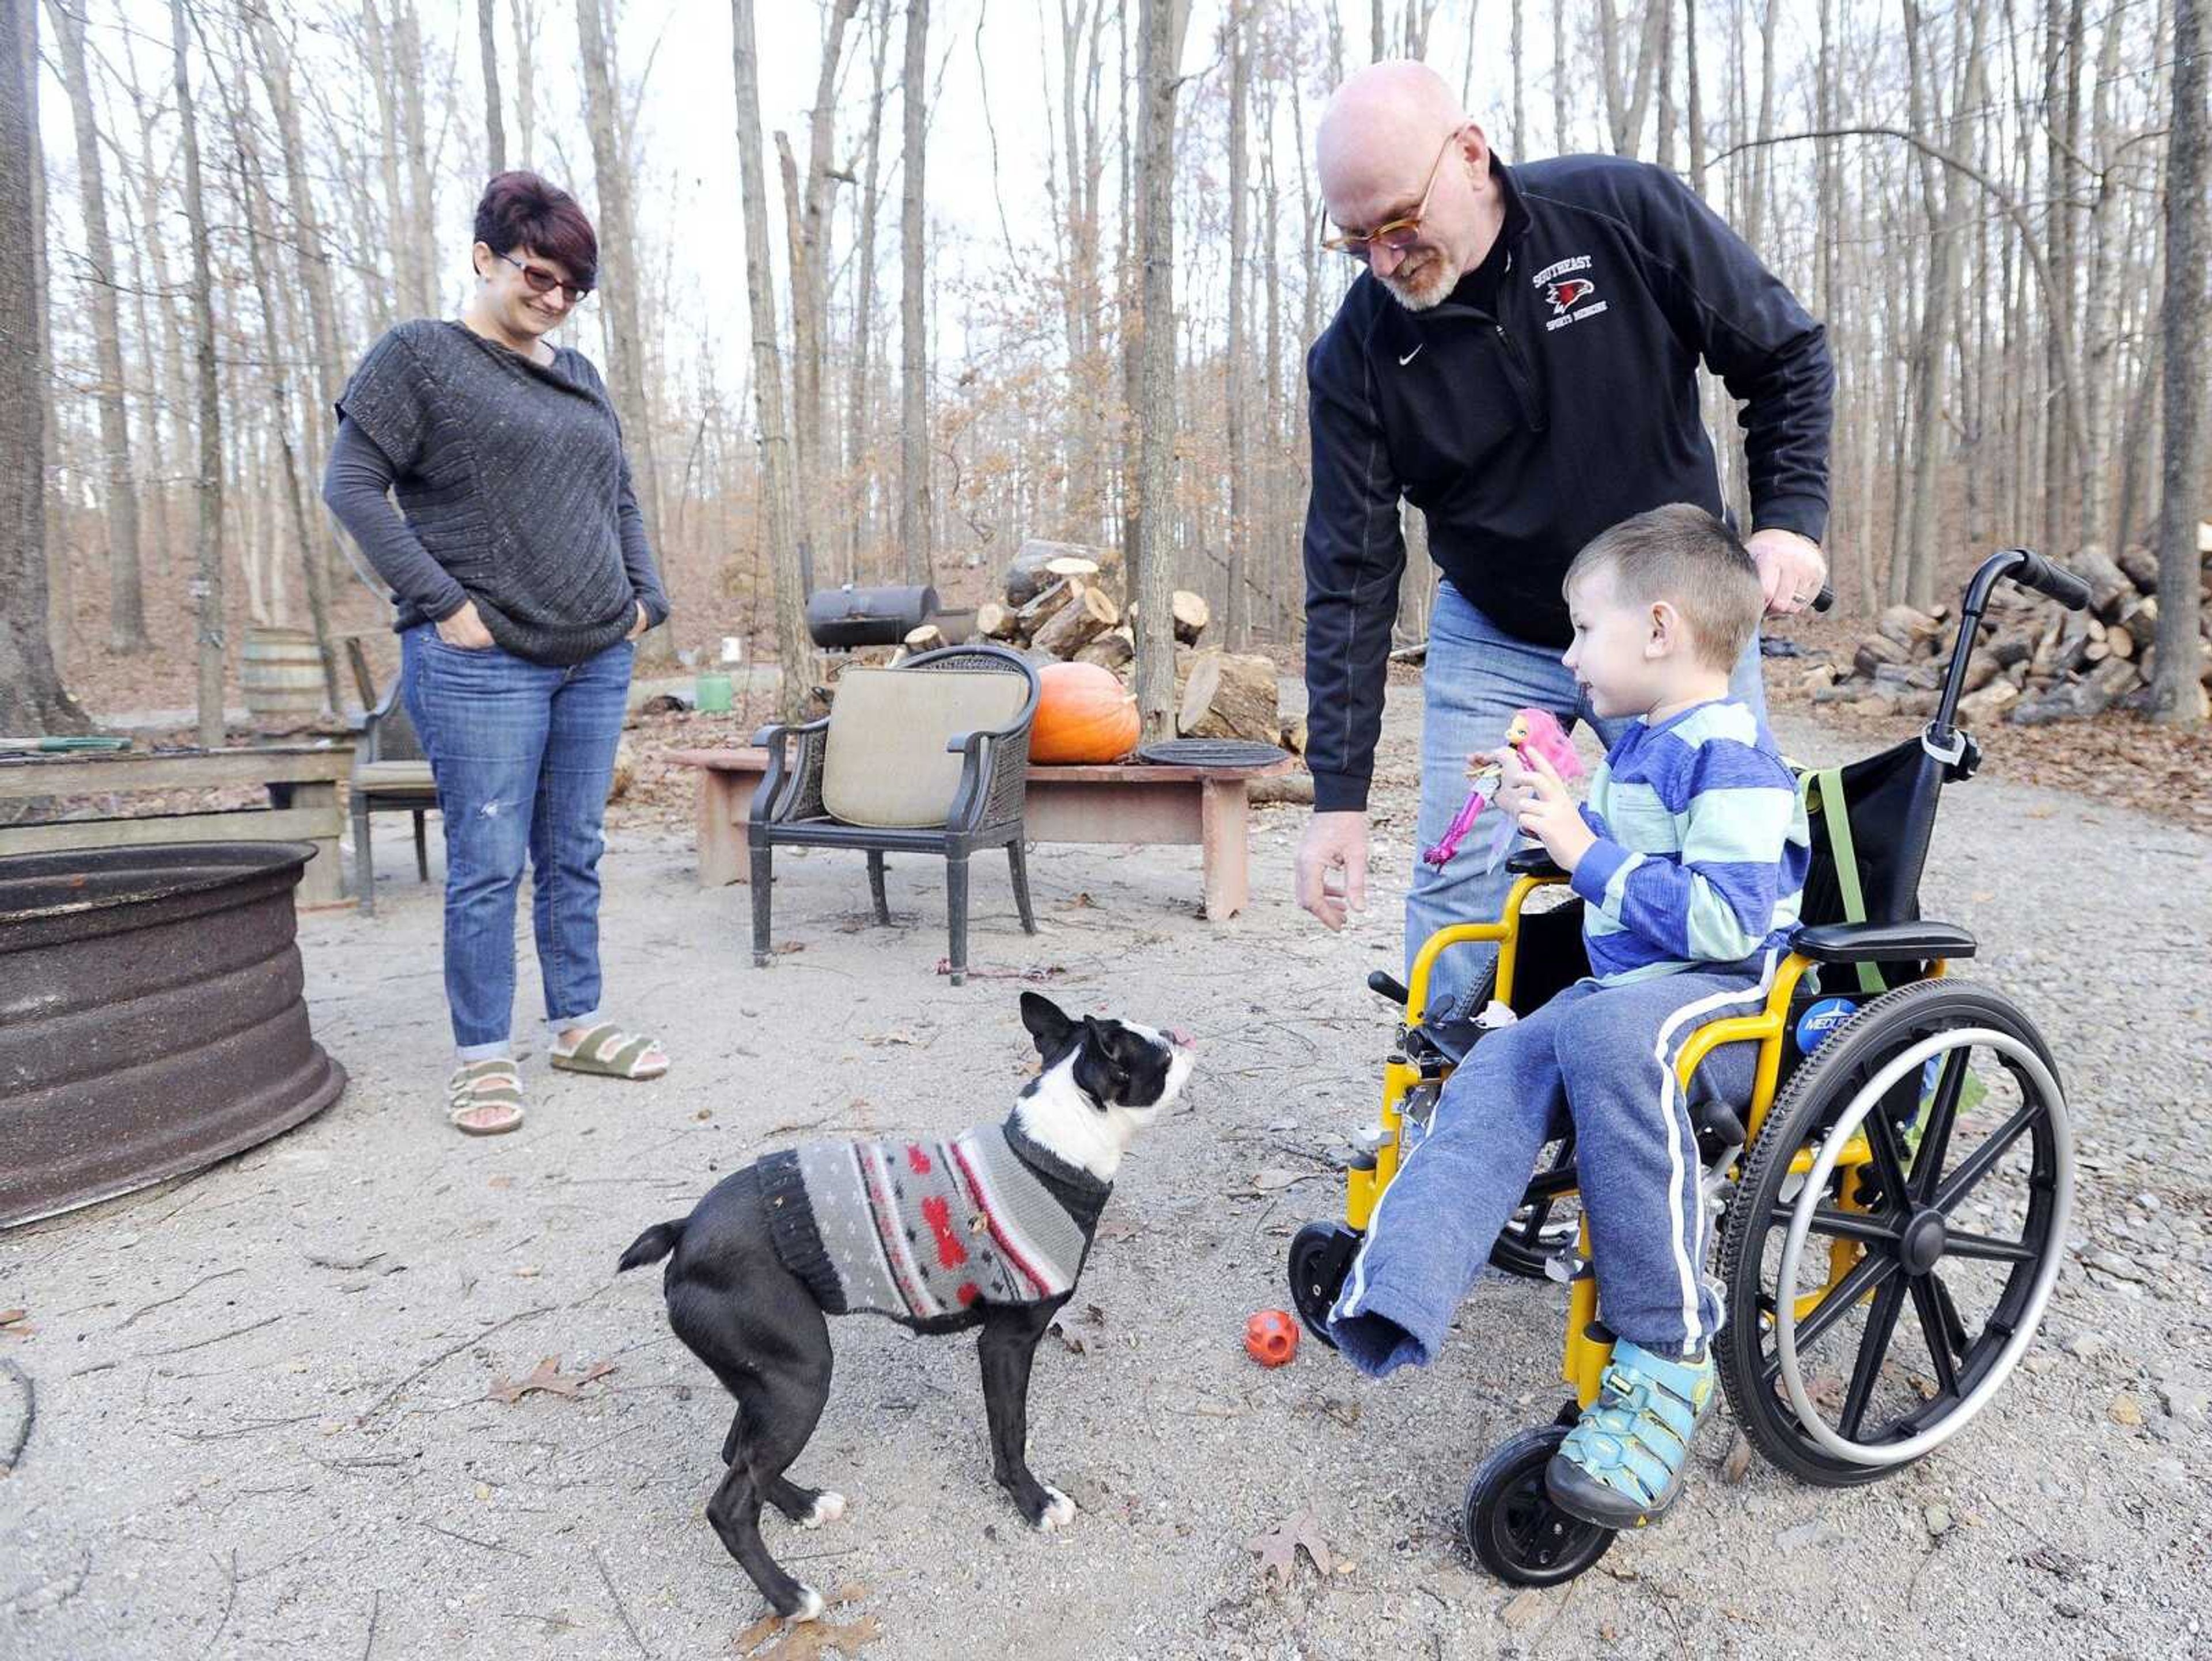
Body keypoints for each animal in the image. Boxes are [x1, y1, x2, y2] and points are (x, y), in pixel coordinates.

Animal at [623, 995, 1194, 1619]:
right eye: (1161, 1057)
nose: (1181, 1035)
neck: (1051, 1154)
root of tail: (686, 1232)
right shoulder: (1006, 1344)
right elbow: (1011, 1432)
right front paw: (1033, 1502)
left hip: (766, 1380)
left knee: (737, 1453)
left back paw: (804, 1506)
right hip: (799, 1379)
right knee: (729, 1504)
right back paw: (789, 1595)